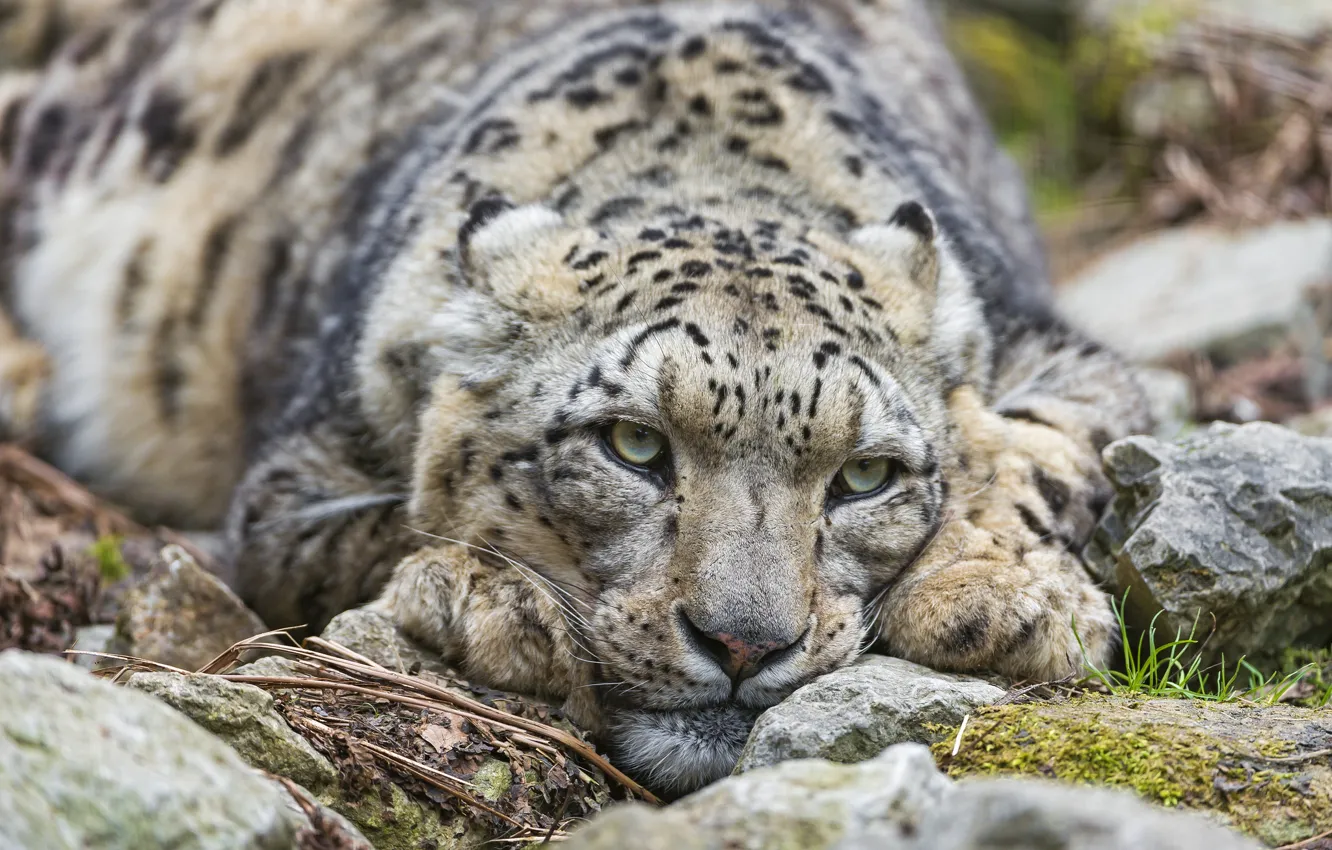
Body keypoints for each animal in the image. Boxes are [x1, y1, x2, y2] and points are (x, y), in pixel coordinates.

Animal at [0, 0, 1151, 797]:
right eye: (632, 445)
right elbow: (393, 527)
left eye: (866, 474)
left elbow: (1037, 447)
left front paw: (999, 599)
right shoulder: (297, 482)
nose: (746, 644)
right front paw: (498, 602)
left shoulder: (1071, 359)